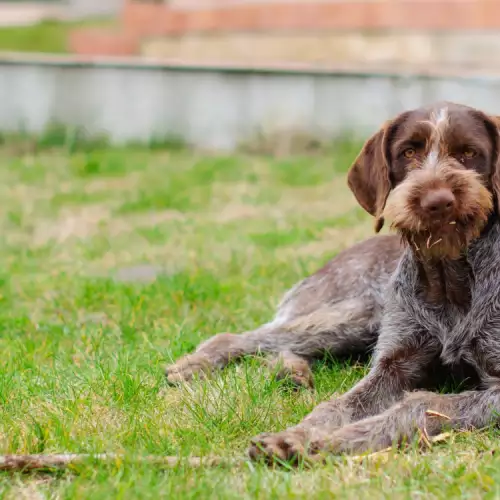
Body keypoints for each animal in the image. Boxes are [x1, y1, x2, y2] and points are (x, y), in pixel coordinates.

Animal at [249, 101, 500, 464]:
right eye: (408, 151)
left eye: (469, 152)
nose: (437, 201)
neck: (448, 281)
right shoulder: (392, 366)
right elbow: (336, 405)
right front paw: (299, 434)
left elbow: (421, 404)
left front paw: (334, 442)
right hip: (355, 316)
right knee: (244, 338)